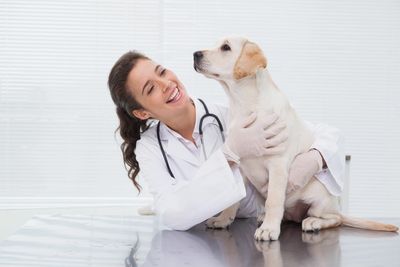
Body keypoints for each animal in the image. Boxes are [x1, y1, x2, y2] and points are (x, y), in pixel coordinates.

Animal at [193, 36, 396, 242]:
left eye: (225, 47)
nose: (195, 54)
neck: (245, 105)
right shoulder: (239, 165)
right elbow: (232, 201)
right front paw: (222, 219)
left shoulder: (277, 165)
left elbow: (273, 200)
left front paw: (269, 229)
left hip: (319, 195)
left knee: (335, 219)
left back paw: (312, 222)